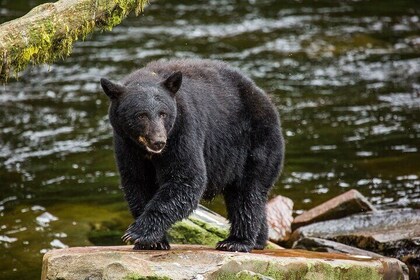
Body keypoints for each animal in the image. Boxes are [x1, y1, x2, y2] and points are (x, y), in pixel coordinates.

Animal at [100, 58, 284, 252]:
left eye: (163, 113)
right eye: (141, 115)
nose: (159, 141)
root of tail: (267, 101)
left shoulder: (183, 129)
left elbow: (186, 177)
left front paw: (138, 233)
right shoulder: (126, 145)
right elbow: (137, 182)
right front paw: (154, 241)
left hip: (256, 144)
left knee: (247, 193)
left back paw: (236, 241)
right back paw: (259, 240)